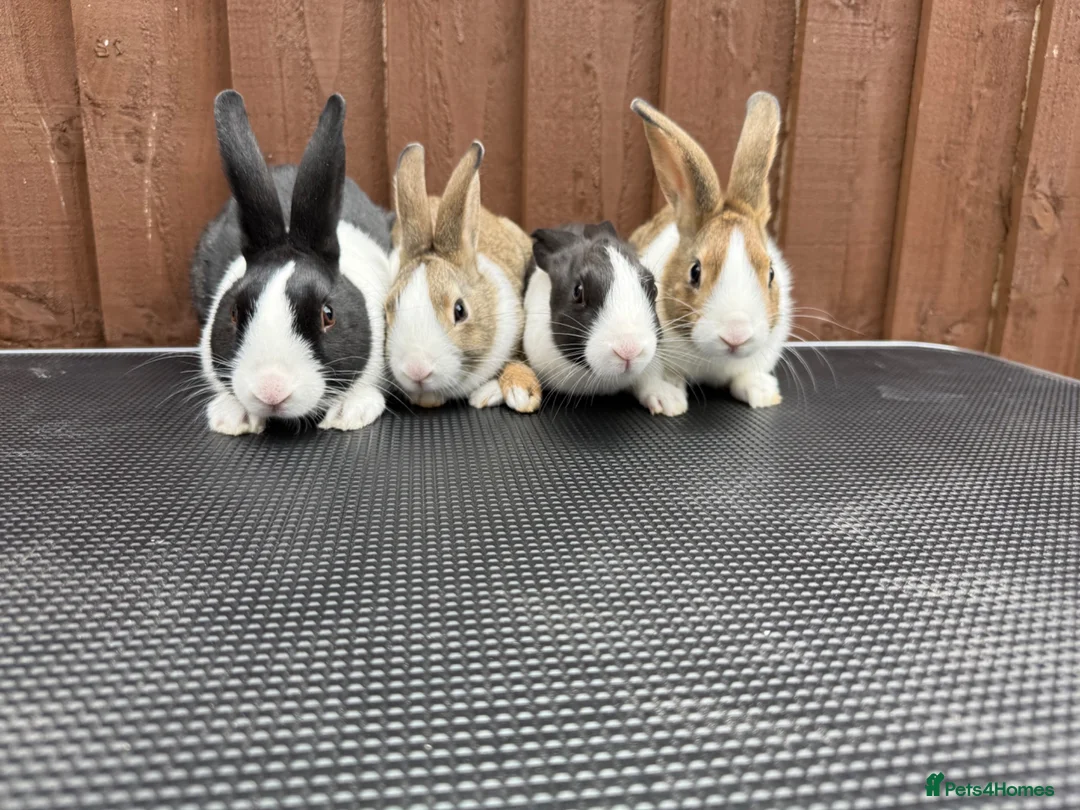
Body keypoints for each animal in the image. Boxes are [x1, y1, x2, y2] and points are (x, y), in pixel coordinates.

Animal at [629, 92, 793, 409]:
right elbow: (652, 379)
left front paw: (763, 393)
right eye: (695, 272)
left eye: (770, 273)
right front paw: (668, 400)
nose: (736, 335)